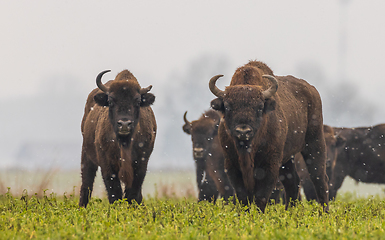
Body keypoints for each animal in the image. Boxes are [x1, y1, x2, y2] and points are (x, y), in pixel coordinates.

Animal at [79, 68, 157, 207]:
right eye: (110, 101)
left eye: (138, 101)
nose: (124, 124)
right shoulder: (107, 165)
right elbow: (114, 192)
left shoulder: (141, 163)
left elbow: (133, 193)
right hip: (86, 154)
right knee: (86, 183)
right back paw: (82, 207)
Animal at [208, 60, 328, 212]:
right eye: (228, 106)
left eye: (259, 107)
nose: (243, 131)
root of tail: (312, 90)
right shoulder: (231, 164)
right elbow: (243, 197)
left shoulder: (270, 164)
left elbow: (261, 195)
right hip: (287, 157)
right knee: (293, 182)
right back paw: (290, 212)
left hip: (315, 143)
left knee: (319, 178)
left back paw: (324, 213)